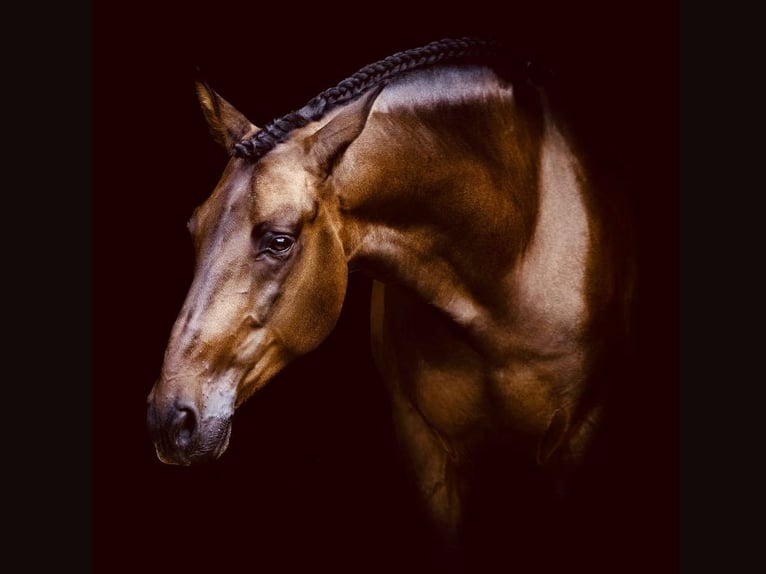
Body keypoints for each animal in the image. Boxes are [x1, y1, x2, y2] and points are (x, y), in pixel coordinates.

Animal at [146, 37, 636, 569]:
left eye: (279, 241)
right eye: (193, 229)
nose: (170, 419)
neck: (515, 243)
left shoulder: (577, 439)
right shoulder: (427, 451)